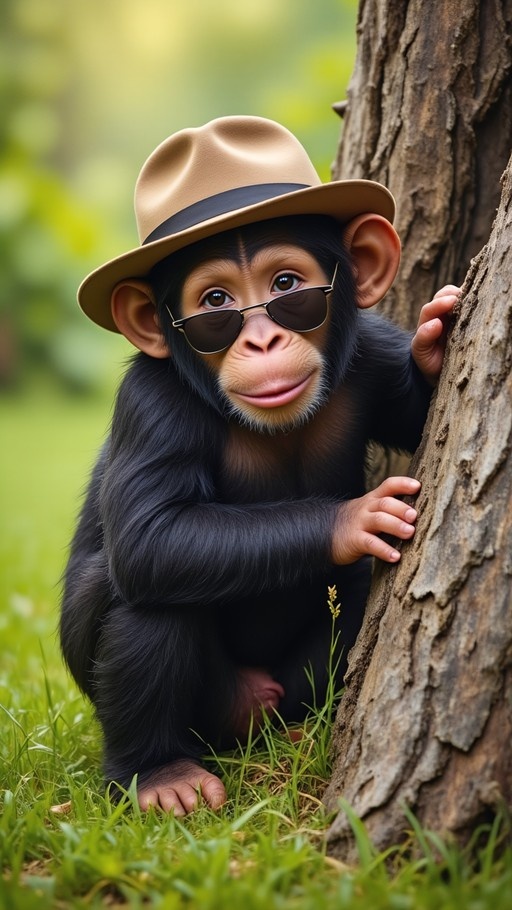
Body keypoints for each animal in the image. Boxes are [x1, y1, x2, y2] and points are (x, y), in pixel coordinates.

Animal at [60, 116, 458, 815]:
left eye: (287, 287)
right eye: (216, 302)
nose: (262, 338)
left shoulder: (371, 348)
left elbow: (411, 407)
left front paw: (434, 341)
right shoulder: (150, 402)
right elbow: (150, 532)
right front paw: (358, 519)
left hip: (286, 687)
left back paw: (300, 731)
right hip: (208, 707)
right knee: (148, 594)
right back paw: (158, 773)